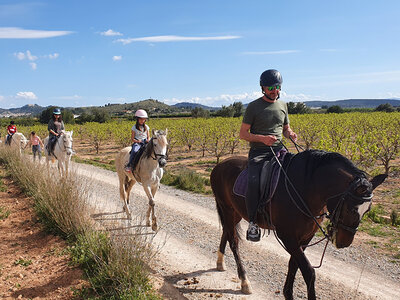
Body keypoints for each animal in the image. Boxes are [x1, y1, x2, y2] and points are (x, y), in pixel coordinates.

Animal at [211, 150, 386, 300]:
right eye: (351, 208)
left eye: (368, 210)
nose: (344, 243)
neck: (305, 189)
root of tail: (220, 165)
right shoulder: (288, 237)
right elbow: (309, 271)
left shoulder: (305, 237)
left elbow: (293, 264)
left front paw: (287, 293)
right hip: (227, 209)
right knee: (233, 241)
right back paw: (244, 281)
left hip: (235, 213)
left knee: (226, 232)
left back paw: (220, 262)